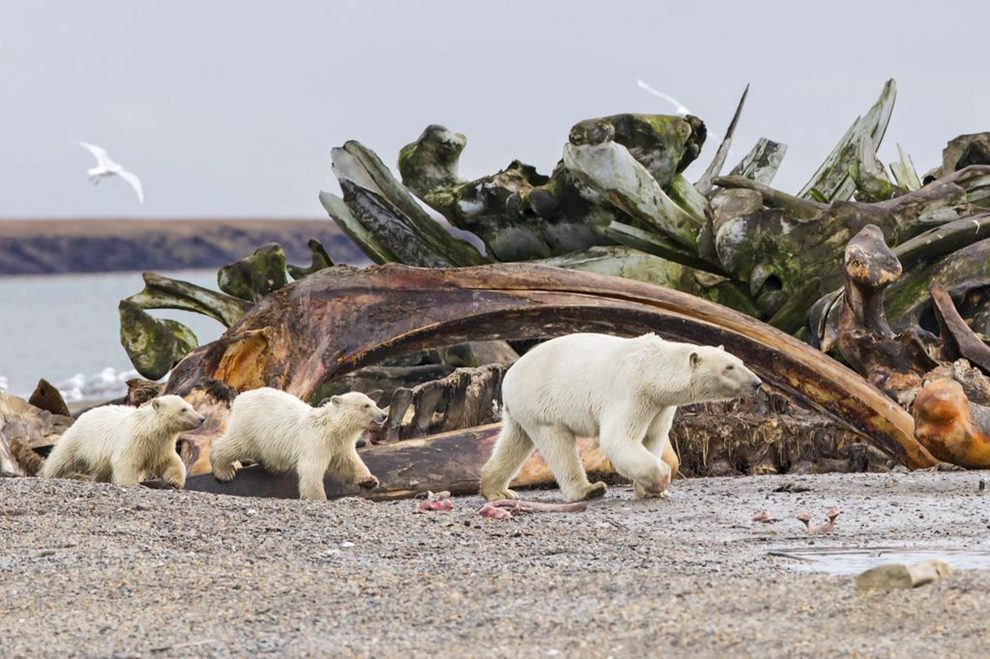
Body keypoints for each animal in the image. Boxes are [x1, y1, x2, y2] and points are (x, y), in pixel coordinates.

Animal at [41, 395, 204, 487]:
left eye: (191, 406)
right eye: (183, 409)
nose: (201, 419)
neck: (150, 429)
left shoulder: (160, 445)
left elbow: (169, 461)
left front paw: (175, 481)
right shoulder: (133, 439)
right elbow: (125, 460)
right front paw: (133, 484)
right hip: (80, 438)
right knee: (61, 457)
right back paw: (49, 473)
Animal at [209, 388, 387, 501]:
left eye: (374, 402)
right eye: (366, 405)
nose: (384, 415)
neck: (331, 427)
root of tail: (240, 398)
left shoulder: (339, 444)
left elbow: (349, 462)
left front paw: (369, 480)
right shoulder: (316, 441)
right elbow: (310, 469)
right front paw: (318, 498)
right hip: (252, 427)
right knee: (235, 444)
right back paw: (224, 471)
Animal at [480, 332, 763, 502]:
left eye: (739, 361)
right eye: (729, 367)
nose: (757, 383)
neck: (654, 369)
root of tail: (510, 375)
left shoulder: (660, 405)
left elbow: (652, 438)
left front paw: (650, 491)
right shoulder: (632, 391)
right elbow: (618, 439)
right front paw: (661, 480)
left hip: (523, 408)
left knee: (514, 441)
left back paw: (497, 490)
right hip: (543, 401)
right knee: (558, 445)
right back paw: (588, 490)